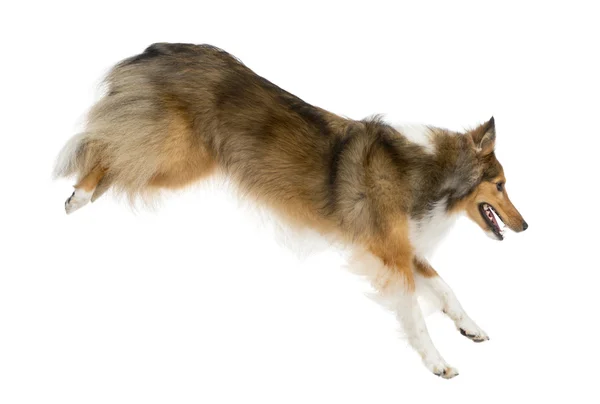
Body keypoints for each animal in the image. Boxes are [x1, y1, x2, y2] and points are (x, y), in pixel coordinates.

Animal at [54, 44, 528, 378]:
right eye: (501, 185)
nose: (525, 226)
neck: (432, 169)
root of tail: (157, 49)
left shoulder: (400, 248)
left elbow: (447, 291)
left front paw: (471, 328)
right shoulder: (391, 254)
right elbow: (415, 313)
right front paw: (437, 362)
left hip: (180, 162)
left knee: (115, 152)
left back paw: (84, 194)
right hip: (170, 151)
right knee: (105, 148)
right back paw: (78, 195)